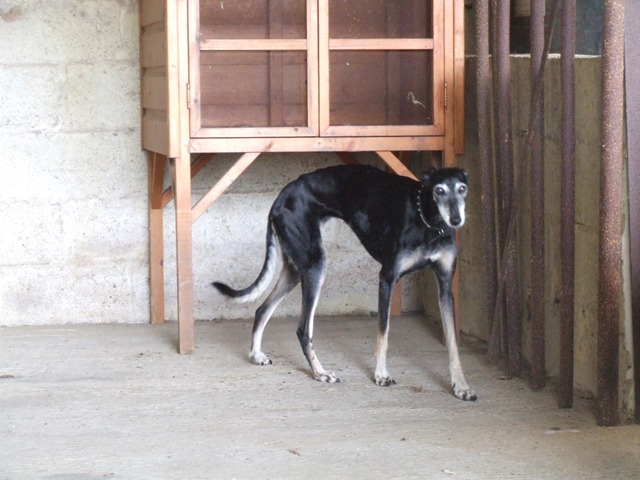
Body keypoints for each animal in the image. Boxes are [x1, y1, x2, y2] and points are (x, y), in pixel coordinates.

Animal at [212, 164, 477, 401]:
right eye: (439, 190)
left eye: (462, 188)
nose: (456, 219)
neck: (429, 223)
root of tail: (280, 197)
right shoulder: (387, 279)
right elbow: (383, 333)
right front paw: (381, 374)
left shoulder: (445, 288)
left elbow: (452, 343)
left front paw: (461, 386)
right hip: (315, 266)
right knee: (303, 329)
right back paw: (319, 373)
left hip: (297, 270)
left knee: (262, 309)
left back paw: (257, 354)